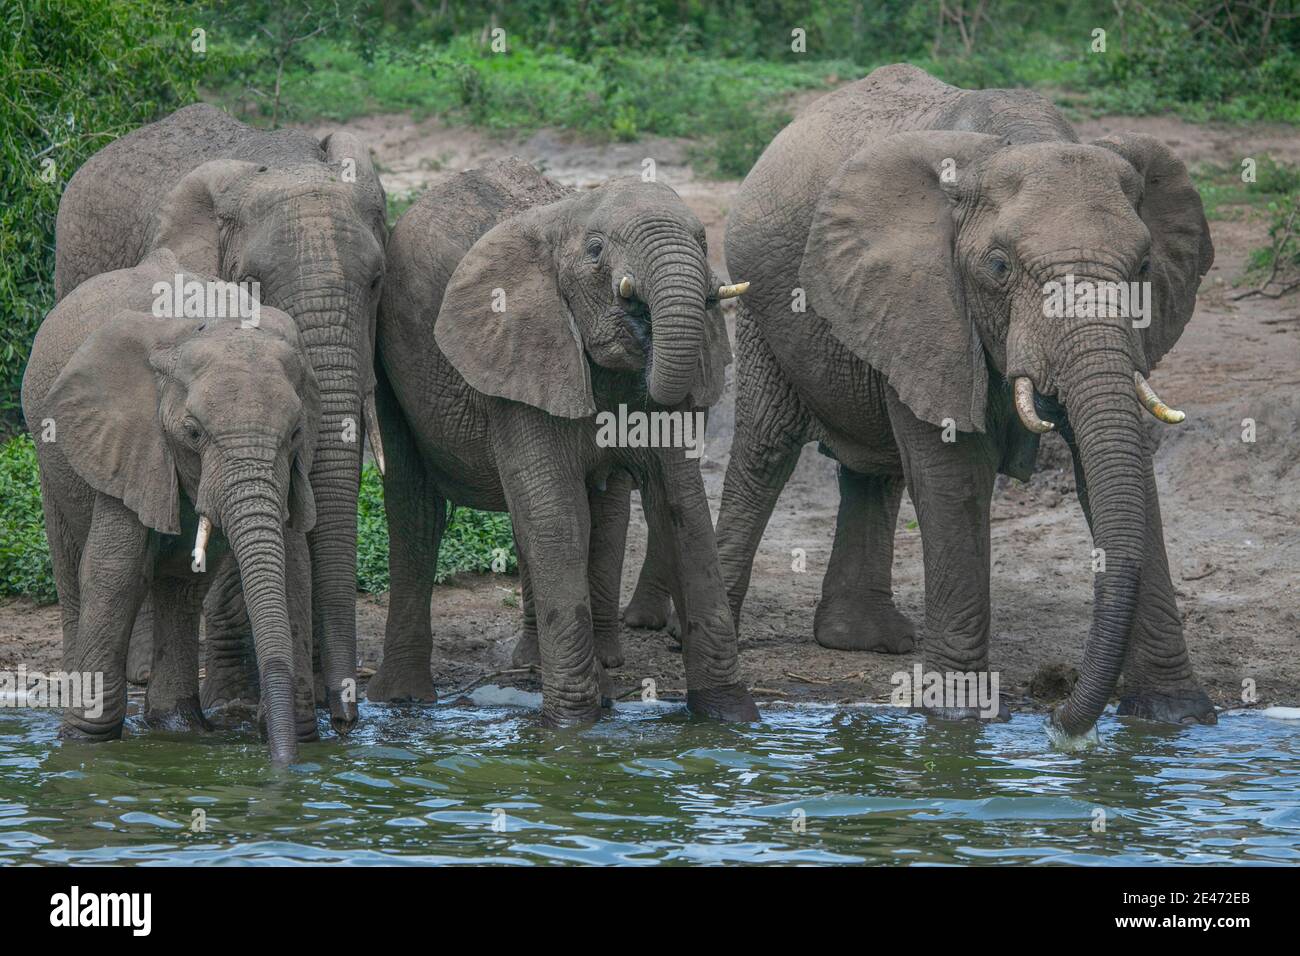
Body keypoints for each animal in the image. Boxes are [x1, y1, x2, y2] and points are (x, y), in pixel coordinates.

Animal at [22, 251, 319, 764]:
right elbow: (114, 571)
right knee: (73, 563)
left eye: (296, 432)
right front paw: (84, 744)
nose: (281, 763)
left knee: (182, 584)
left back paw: (178, 725)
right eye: (193, 433)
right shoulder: (126, 437)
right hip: (52, 457)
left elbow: (293, 570)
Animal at [366, 158, 759, 723]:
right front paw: (573, 726)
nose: (643, 318)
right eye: (595, 250)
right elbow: (557, 517)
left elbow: (682, 509)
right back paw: (401, 698)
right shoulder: (517, 355)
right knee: (415, 508)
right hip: (393, 369)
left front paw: (730, 718)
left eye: (704, 240)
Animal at [717, 63, 1211, 738]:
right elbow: (953, 475)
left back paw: (864, 640)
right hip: (763, 310)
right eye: (998, 268)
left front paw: (1175, 716)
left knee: (875, 470)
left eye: (1142, 266)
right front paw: (954, 716)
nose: (1058, 716)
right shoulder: (925, 297)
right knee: (767, 450)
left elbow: (1117, 472)